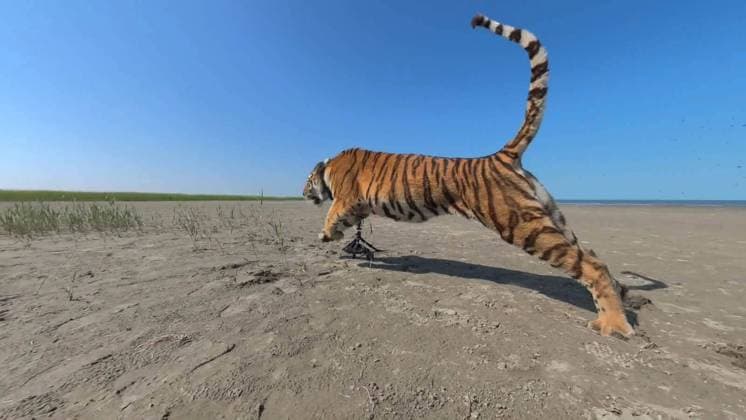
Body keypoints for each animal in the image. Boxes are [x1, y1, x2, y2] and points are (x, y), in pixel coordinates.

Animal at [303, 14, 634, 338]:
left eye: (307, 181)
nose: (303, 193)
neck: (329, 167)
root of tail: (502, 155)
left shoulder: (346, 197)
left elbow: (332, 214)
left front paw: (326, 234)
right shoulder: (358, 206)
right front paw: (342, 239)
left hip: (523, 225)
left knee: (589, 265)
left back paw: (614, 325)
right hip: (550, 217)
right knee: (592, 255)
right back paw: (622, 296)